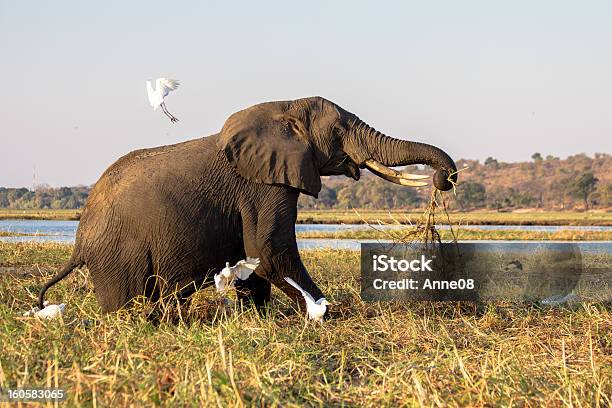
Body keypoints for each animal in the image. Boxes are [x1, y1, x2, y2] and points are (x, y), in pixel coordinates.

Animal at [38, 96, 456, 316]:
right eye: (339, 130)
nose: (444, 179)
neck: (285, 107)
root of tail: (79, 239)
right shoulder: (262, 187)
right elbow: (270, 252)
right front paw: (324, 313)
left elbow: (254, 258)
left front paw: (256, 317)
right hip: (117, 253)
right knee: (127, 300)